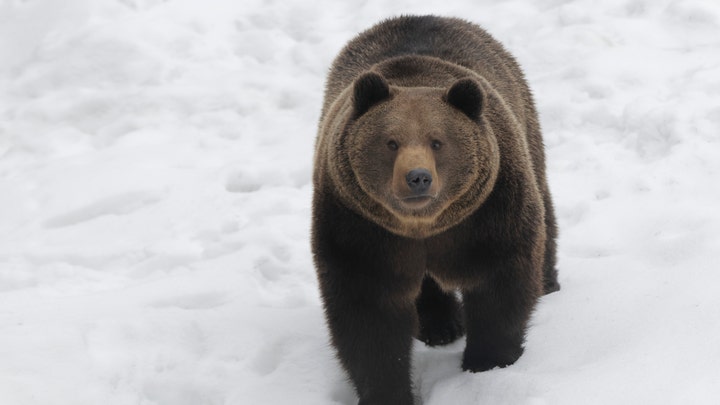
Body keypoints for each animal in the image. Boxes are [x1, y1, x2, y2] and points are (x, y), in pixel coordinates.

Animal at [312, 15, 560, 404]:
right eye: (391, 142)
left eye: (437, 141)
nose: (418, 177)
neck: (425, 226)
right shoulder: (358, 229)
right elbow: (369, 315)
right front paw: (388, 391)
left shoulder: (489, 215)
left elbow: (500, 285)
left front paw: (488, 363)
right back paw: (440, 324)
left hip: (526, 129)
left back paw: (547, 283)